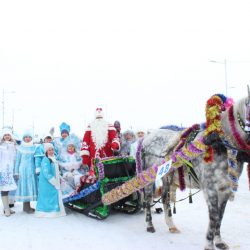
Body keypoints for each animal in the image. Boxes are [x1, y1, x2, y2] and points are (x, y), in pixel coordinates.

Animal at [140, 95, 249, 250]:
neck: (219, 144)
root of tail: (147, 136)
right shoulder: (210, 189)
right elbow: (214, 216)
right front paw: (209, 244)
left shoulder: (224, 189)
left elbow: (220, 216)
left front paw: (219, 241)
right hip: (149, 178)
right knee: (148, 199)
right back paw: (150, 225)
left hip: (167, 177)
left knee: (165, 198)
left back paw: (171, 225)